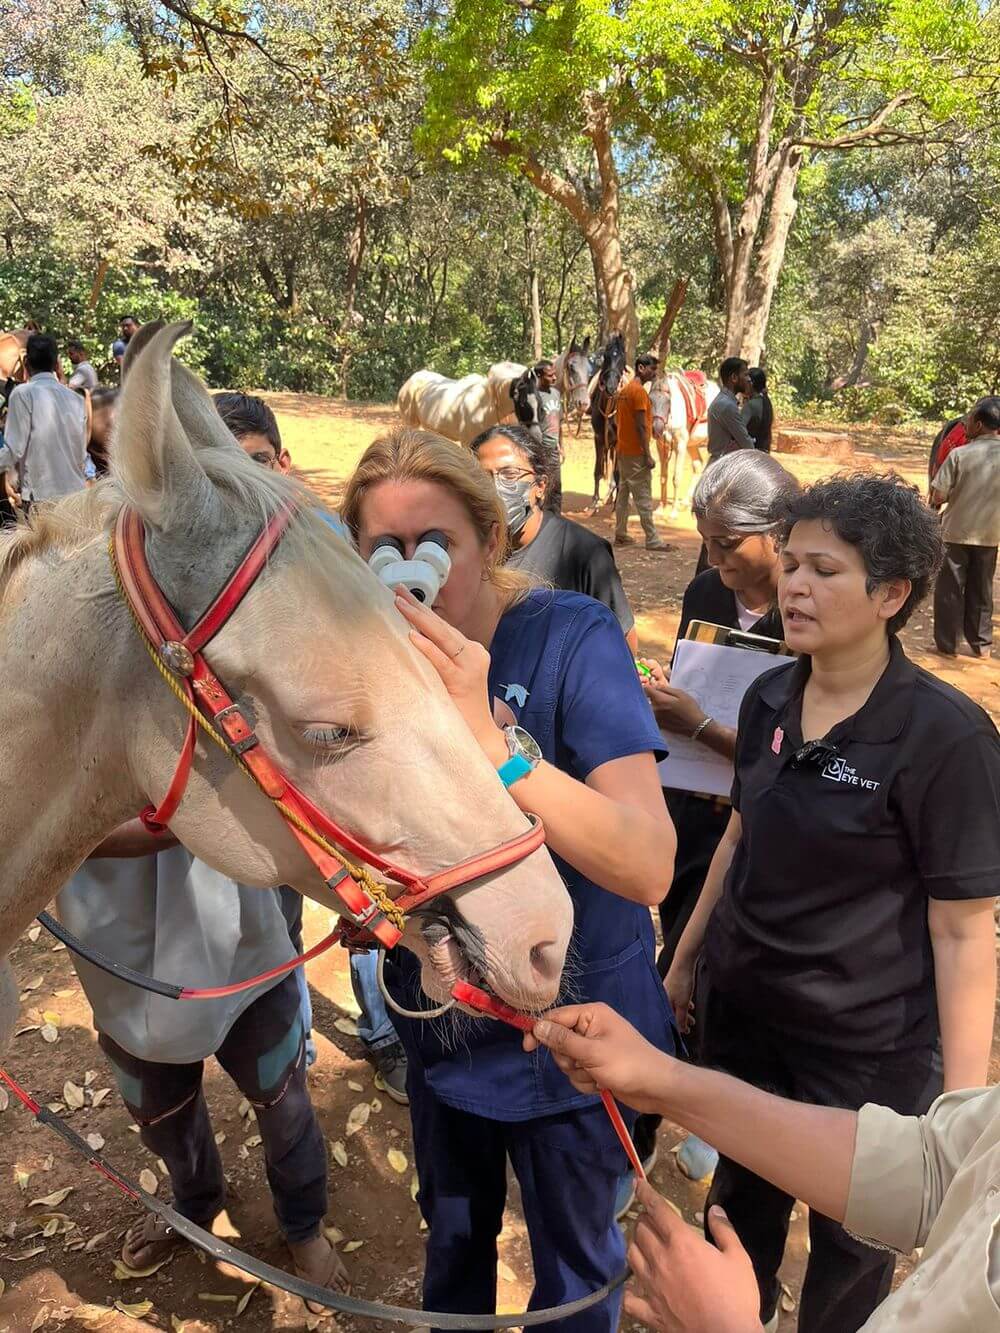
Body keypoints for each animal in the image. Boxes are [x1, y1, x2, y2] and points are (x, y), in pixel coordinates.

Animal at [650, 373, 720, 511]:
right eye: (650, 400)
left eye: (668, 401)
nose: (656, 429)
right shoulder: (662, 446)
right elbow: (663, 477)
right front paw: (661, 507)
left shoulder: (680, 445)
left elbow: (676, 478)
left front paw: (673, 511)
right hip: (692, 444)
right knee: (698, 465)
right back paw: (686, 502)